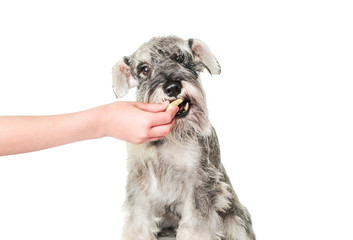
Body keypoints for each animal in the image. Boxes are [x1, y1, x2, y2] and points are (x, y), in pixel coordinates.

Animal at [111, 35, 254, 240]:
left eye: (180, 58)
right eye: (144, 69)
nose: (172, 87)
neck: (170, 135)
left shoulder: (199, 181)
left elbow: (196, 227)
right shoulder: (140, 182)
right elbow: (138, 223)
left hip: (235, 221)